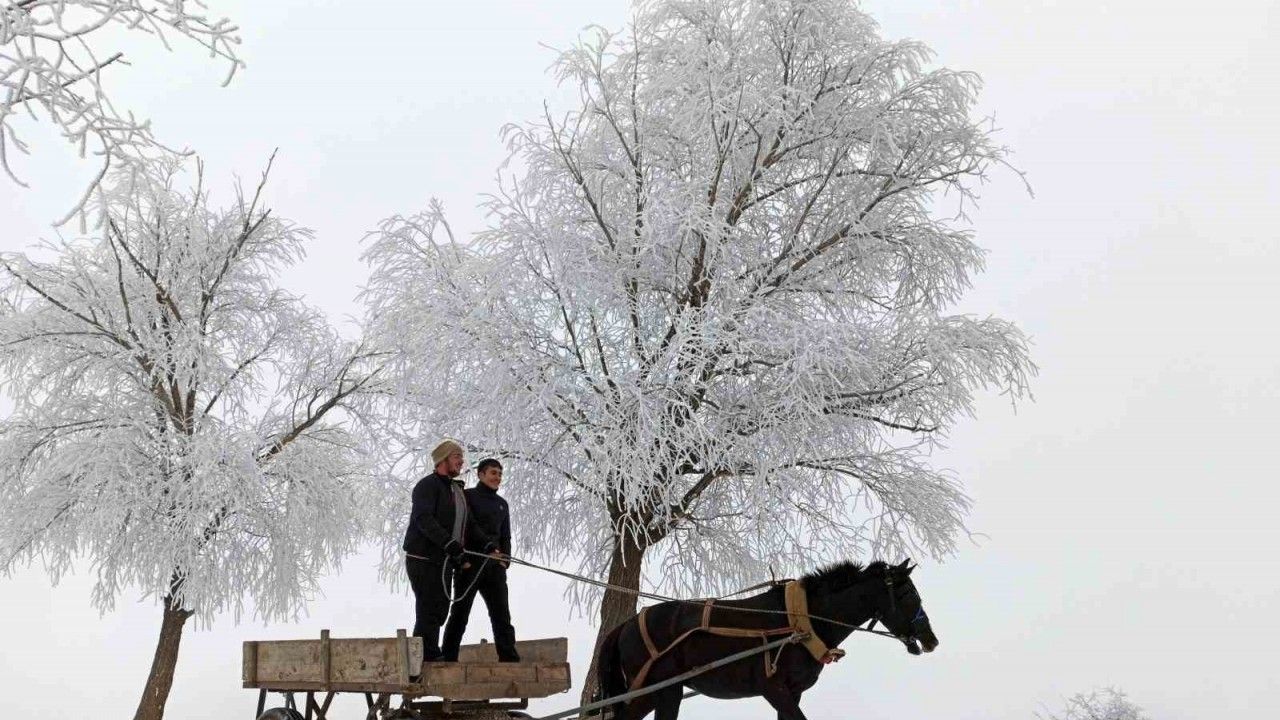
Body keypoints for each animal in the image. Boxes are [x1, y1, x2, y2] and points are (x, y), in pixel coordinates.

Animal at [593, 558, 936, 717]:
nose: (931, 639)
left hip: (661, 693)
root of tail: (625, 625)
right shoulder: (774, 689)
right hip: (655, 690)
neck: (802, 621)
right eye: (908, 593)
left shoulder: (793, 693)